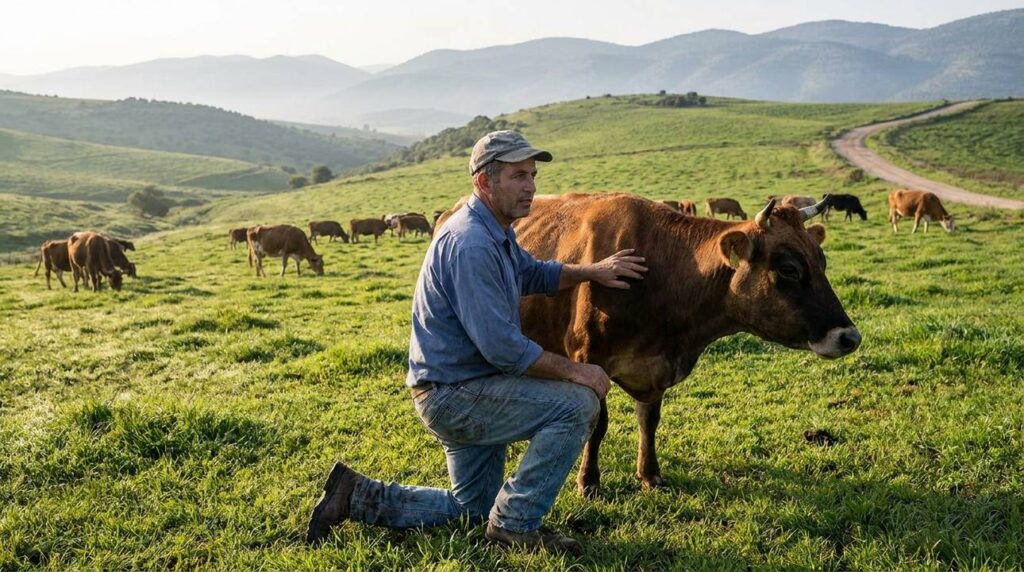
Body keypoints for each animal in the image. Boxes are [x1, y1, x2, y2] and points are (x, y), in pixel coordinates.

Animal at [437, 193, 859, 498]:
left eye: (822, 261)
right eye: (788, 269)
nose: (849, 337)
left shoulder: (656, 369)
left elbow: (649, 422)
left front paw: (650, 474)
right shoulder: (589, 358)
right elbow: (598, 425)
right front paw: (588, 482)